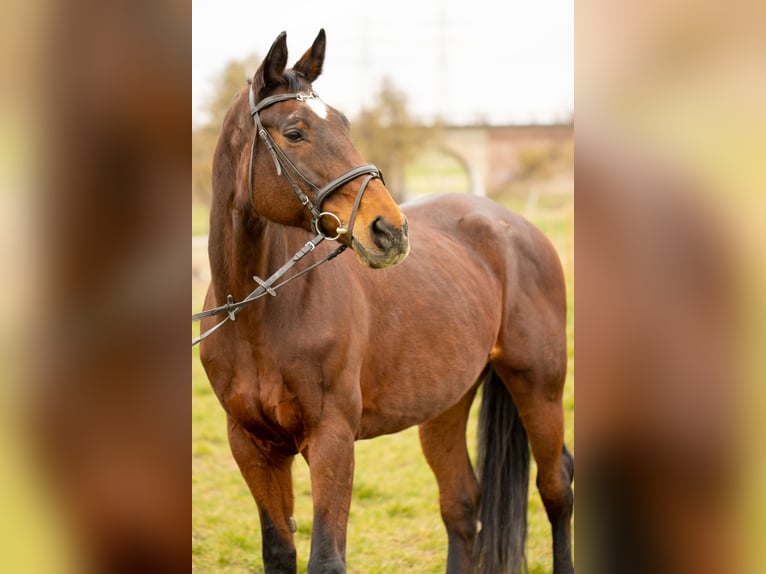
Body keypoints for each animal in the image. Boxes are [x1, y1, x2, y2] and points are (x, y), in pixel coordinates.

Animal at [201, 30, 572, 574]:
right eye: (294, 132)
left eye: (346, 124)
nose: (390, 230)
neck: (258, 314)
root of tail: (513, 225)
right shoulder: (252, 446)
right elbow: (279, 552)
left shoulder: (332, 441)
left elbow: (326, 558)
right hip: (448, 400)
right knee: (462, 504)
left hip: (538, 384)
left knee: (556, 486)